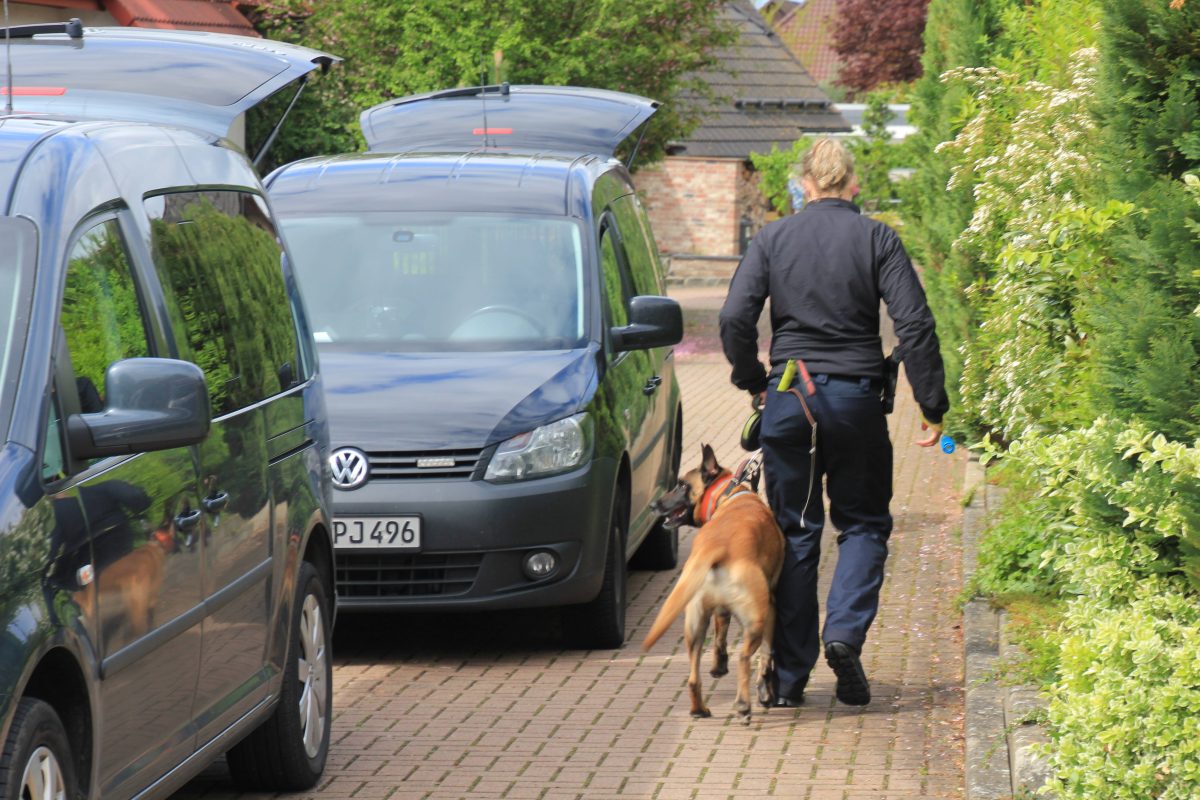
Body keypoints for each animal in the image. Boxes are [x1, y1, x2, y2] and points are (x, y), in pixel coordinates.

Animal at [643, 443, 782, 724]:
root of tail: (716, 546)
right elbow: (766, 656)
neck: (729, 494)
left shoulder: (719, 611)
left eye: (682, 485)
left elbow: (720, 637)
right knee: (744, 658)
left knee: (693, 678)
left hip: (694, 626)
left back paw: (699, 709)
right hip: (755, 620)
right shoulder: (772, 610)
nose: (654, 504)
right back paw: (744, 705)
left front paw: (719, 666)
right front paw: (765, 692)